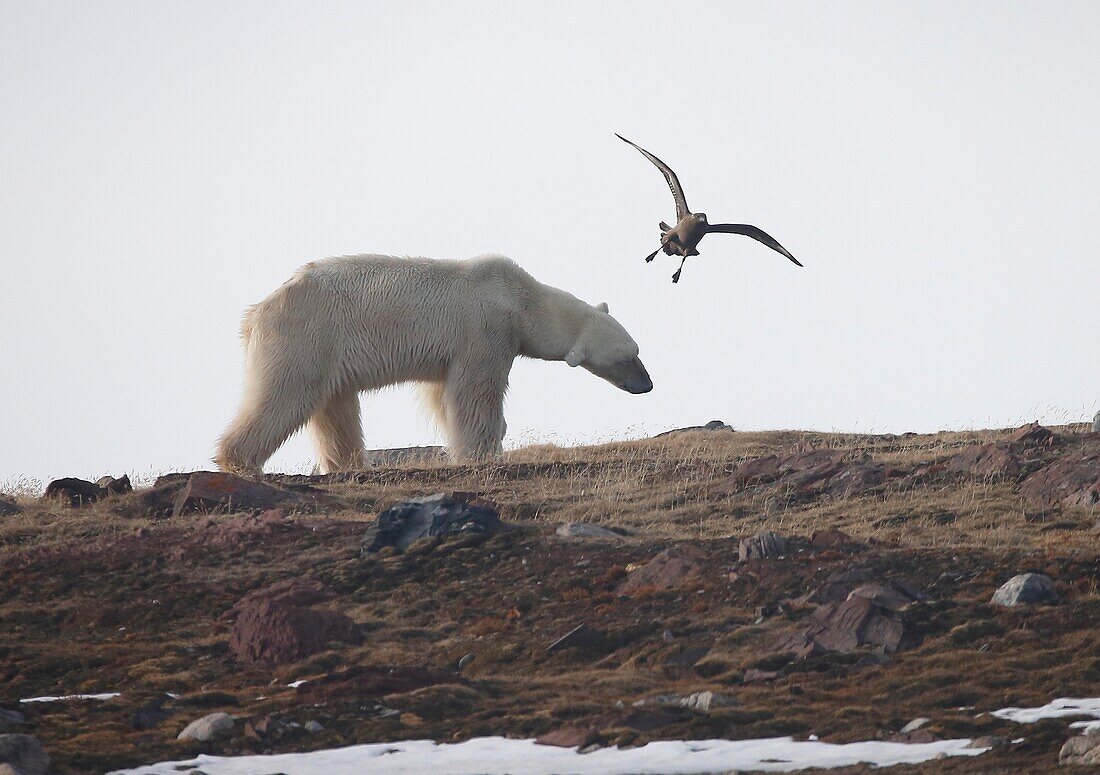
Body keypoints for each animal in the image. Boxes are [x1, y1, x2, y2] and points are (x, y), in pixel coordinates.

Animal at [214, 253, 651, 474]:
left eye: (637, 351)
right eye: (626, 358)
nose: (646, 385)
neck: (520, 298)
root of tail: (254, 314)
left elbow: (444, 396)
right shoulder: (485, 331)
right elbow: (476, 392)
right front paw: (483, 451)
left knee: (335, 405)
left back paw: (351, 464)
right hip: (307, 333)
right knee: (286, 392)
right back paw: (239, 461)